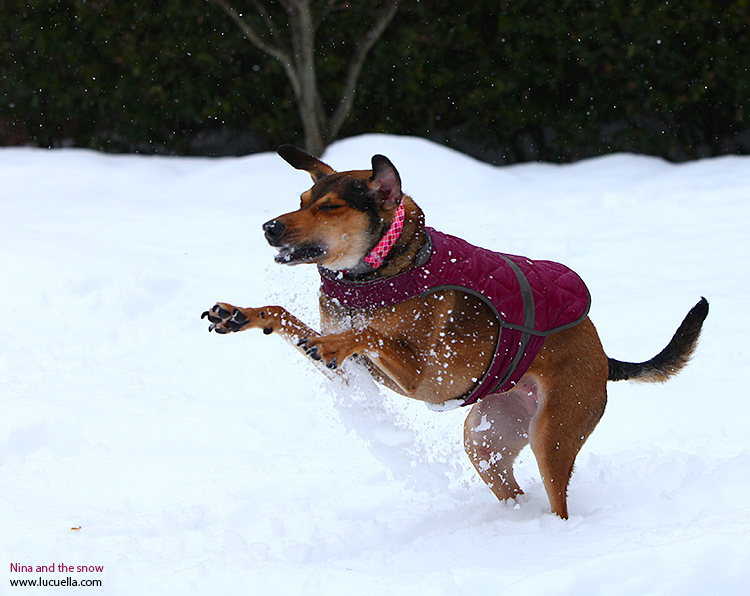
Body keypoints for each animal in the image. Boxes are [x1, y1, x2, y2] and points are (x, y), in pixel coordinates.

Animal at [203, 147, 708, 520]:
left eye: (330, 207)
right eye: (302, 200)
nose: (269, 228)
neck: (378, 271)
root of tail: (604, 359)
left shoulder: (423, 373)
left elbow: (371, 334)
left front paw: (337, 338)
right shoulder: (352, 374)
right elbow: (285, 315)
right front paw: (241, 314)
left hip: (554, 435)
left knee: (557, 498)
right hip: (486, 438)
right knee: (511, 489)